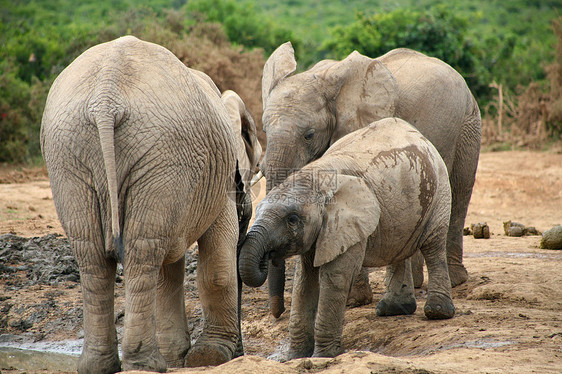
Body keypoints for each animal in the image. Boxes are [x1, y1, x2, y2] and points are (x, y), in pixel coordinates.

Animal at [40, 35, 262, 374]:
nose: (242, 351)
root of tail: (106, 96)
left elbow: (169, 267)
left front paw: (182, 357)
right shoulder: (219, 177)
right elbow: (213, 263)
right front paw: (211, 357)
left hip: (71, 153)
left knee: (96, 254)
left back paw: (104, 365)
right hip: (160, 152)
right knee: (143, 251)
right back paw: (146, 364)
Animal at [238, 117, 452, 360]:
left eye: (292, 219)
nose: (268, 256)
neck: (317, 177)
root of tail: (420, 135)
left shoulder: (345, 222)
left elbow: (335, 278)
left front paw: (324, 357)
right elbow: (304, 281)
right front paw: (295, 357)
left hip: (439, 187)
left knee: (434, 246)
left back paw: (437, 312)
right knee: (399, 250)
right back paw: (393, 310)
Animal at [256, 41, 480, 318]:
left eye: (309, 135)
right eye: (264, 130)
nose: (278, 314)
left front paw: (353, 301)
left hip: (468, 124)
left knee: (459, 192)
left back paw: (455, 280)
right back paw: (416, 284)